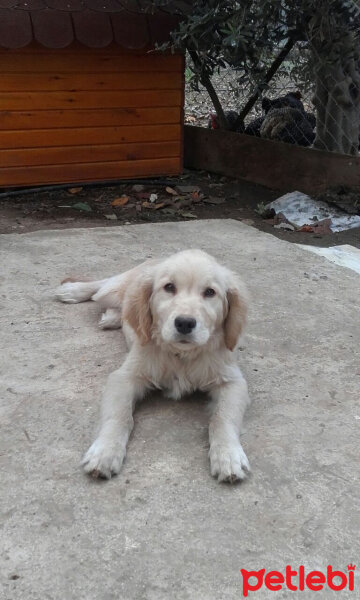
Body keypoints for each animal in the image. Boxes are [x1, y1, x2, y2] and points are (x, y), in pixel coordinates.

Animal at [57, 248, 253, 482]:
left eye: (210, 292)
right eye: (169, 287)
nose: (185, 323)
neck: (181, 355)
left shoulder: (232, 381)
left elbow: (223, 418)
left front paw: (229, 456)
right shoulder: (125, 377)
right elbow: (119, 415)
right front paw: (104, 452)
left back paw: (112, 317)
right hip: (110, 290)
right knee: (102, 286)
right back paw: (73, 290)